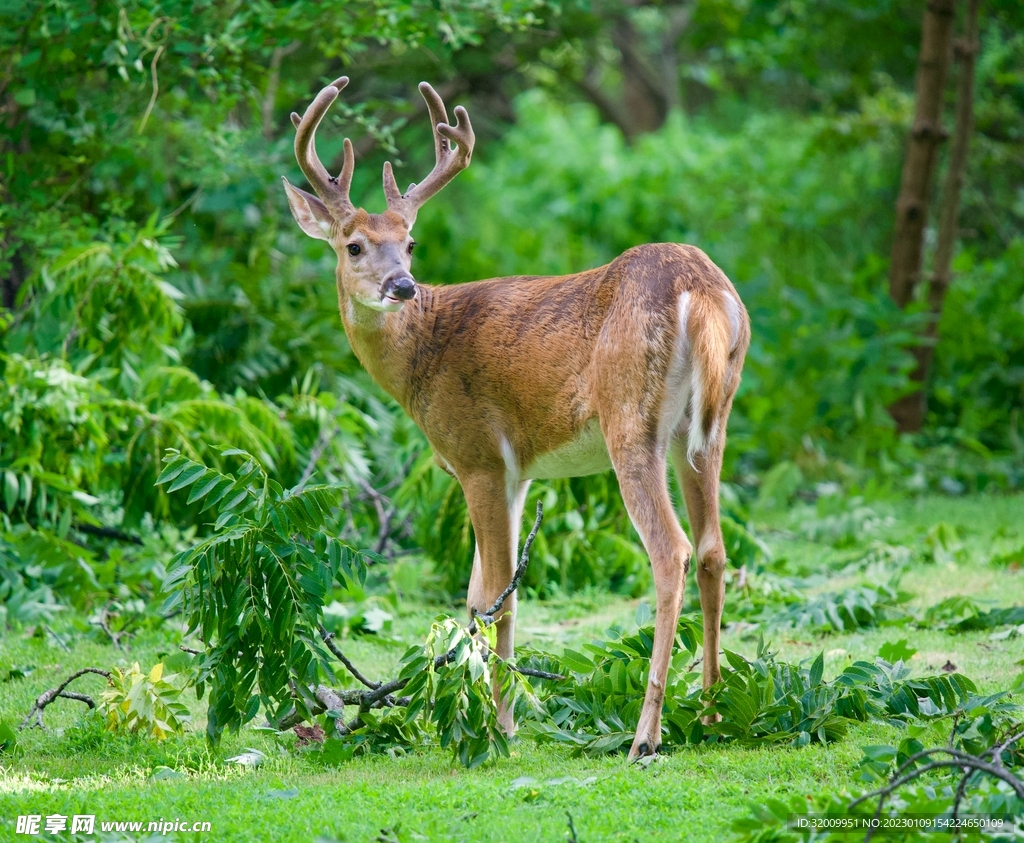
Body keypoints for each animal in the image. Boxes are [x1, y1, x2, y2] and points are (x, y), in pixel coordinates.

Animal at [282, 76, 750, 760]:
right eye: (355, 245)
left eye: (411, 243)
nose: (402, 286)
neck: (423, 355)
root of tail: (706, 293)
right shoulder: (518, 471)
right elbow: (488, 593)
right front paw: (488, 715)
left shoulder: (477, 455)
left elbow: (497, 593)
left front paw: (500, 726)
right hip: (709, 424)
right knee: (714, 549)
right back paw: (713, 712)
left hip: (630, 422)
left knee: (673, 553)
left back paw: (646, 735)